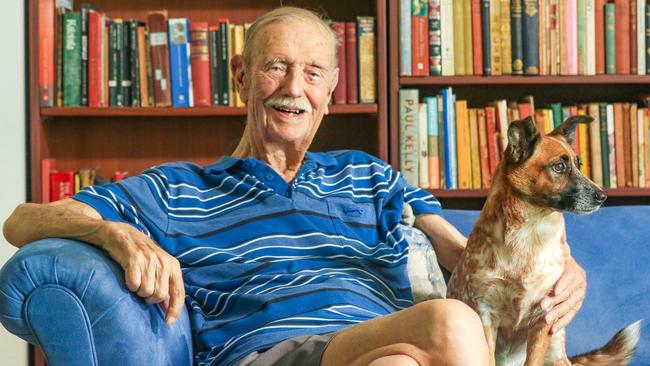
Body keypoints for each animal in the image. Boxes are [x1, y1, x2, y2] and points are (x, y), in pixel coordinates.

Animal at [446, 116, 636, 366]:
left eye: (579, 164)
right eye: (559, 167)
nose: (602, 197)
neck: (530, 230)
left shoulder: (544, 317)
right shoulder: (485, 314)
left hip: (556, 349)